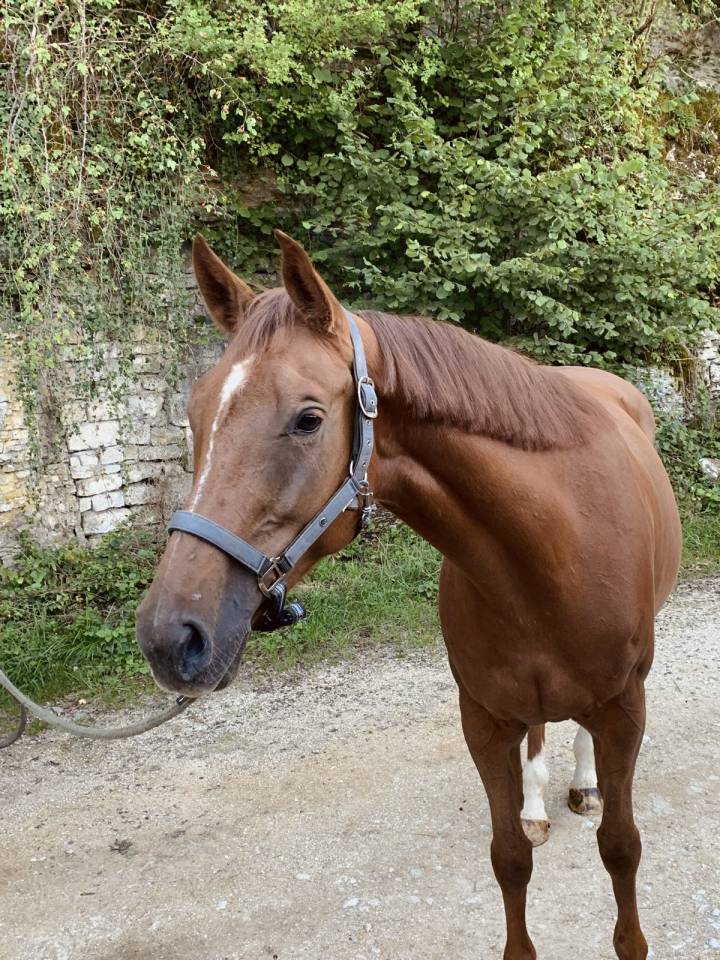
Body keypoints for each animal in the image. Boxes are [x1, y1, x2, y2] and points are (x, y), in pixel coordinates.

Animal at [136, 231, 682, 960]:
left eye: (307, 419)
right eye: (195, 416)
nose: (170, 637)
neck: (550, 553)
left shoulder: (625, 713)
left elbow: (621, 850)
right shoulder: (483, 721)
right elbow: (509, 858)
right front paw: (524, 826)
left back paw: (583, 784)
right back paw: (538, 804)